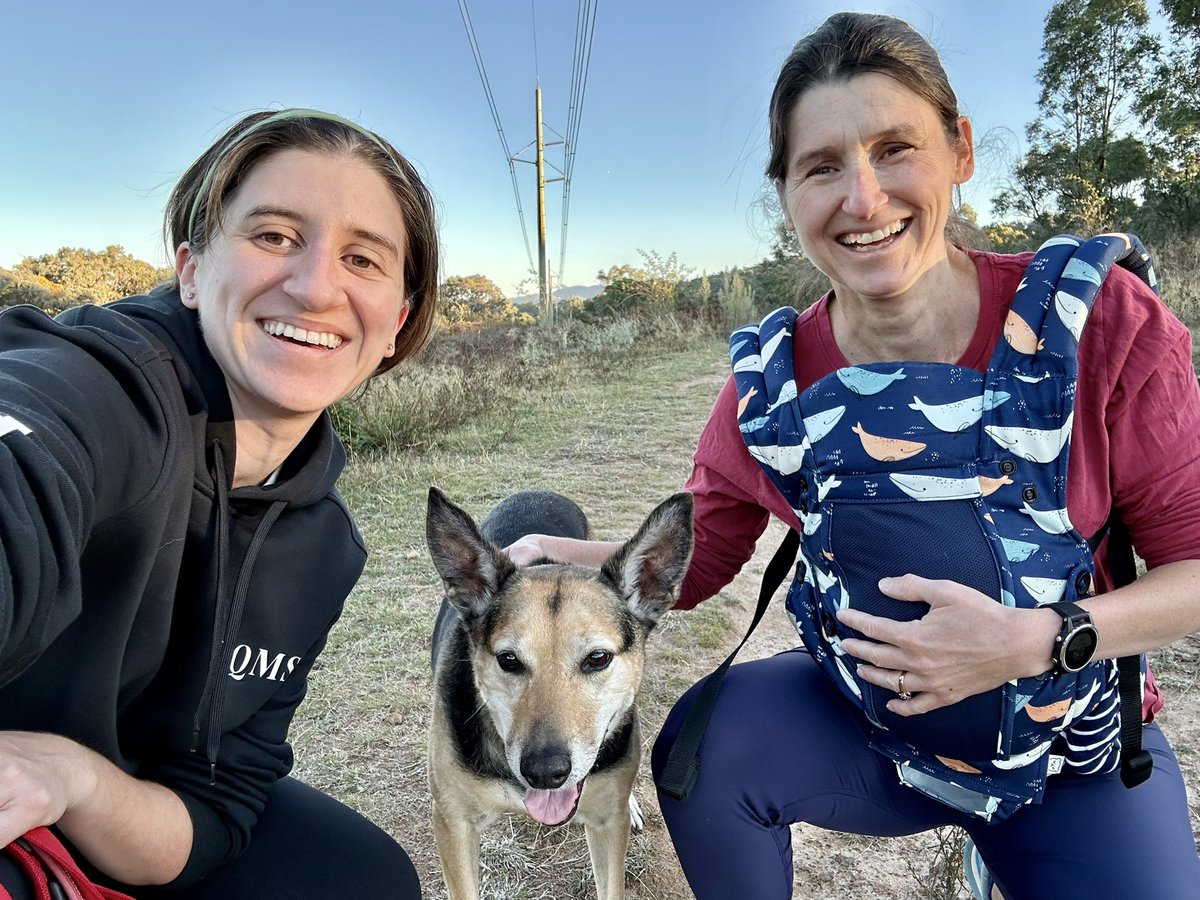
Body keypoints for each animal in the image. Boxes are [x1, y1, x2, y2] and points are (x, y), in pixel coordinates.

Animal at [429, 489, 696, 900]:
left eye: (598, 658)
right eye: (508, 659)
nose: (544, 774)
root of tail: (538, 492)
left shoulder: (607, 823)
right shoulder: (452, 823)